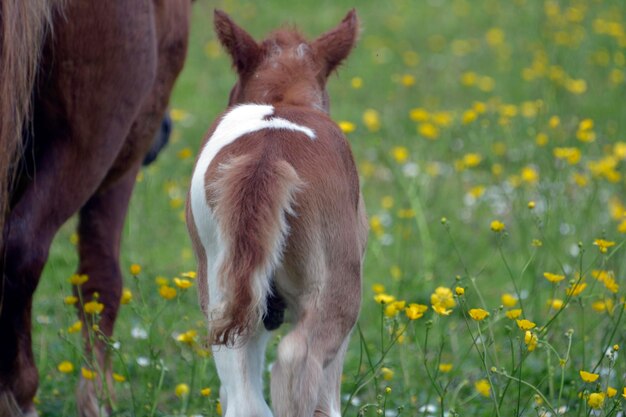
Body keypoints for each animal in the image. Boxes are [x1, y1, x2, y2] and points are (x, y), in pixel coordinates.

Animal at [0, 1, 190, 414]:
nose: (165, 132)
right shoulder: (123, 157)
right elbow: (102, 279)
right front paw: (99, 395)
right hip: (93, 138)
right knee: (23, 248)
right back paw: (20, 394)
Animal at [185, 8, 368, 416]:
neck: (285, 98)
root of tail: (266, 156)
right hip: (337, 285)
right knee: (296, 360)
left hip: (221, 292)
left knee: (244, 399)